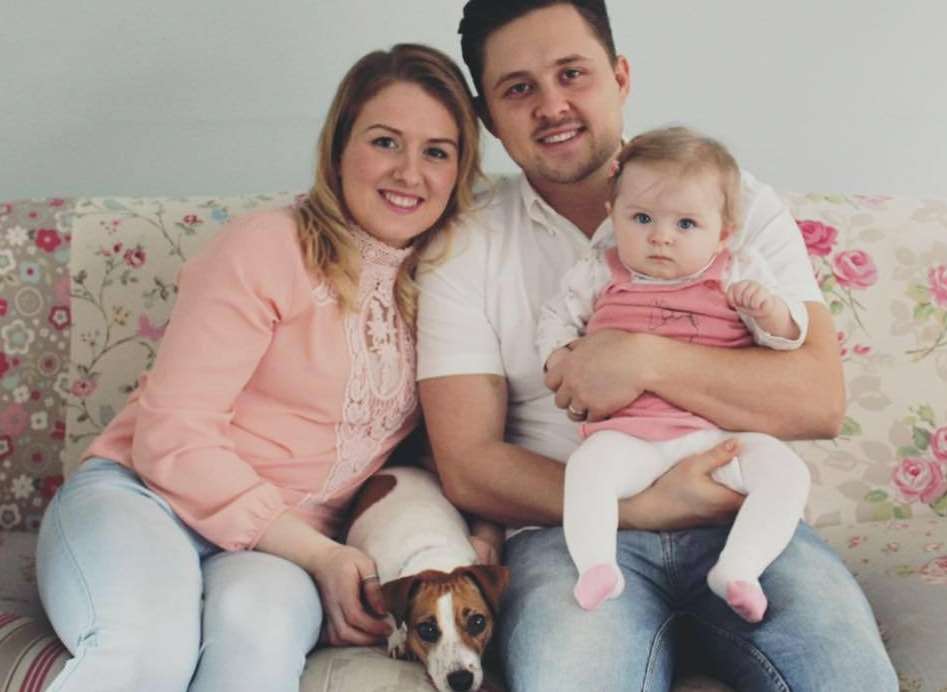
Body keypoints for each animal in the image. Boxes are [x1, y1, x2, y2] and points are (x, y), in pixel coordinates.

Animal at [348, 464, 512, 692]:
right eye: (427, 630)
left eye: (477, 622)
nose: (461, 681)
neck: (432, 552)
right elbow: (389, 615)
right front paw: (398, 638)